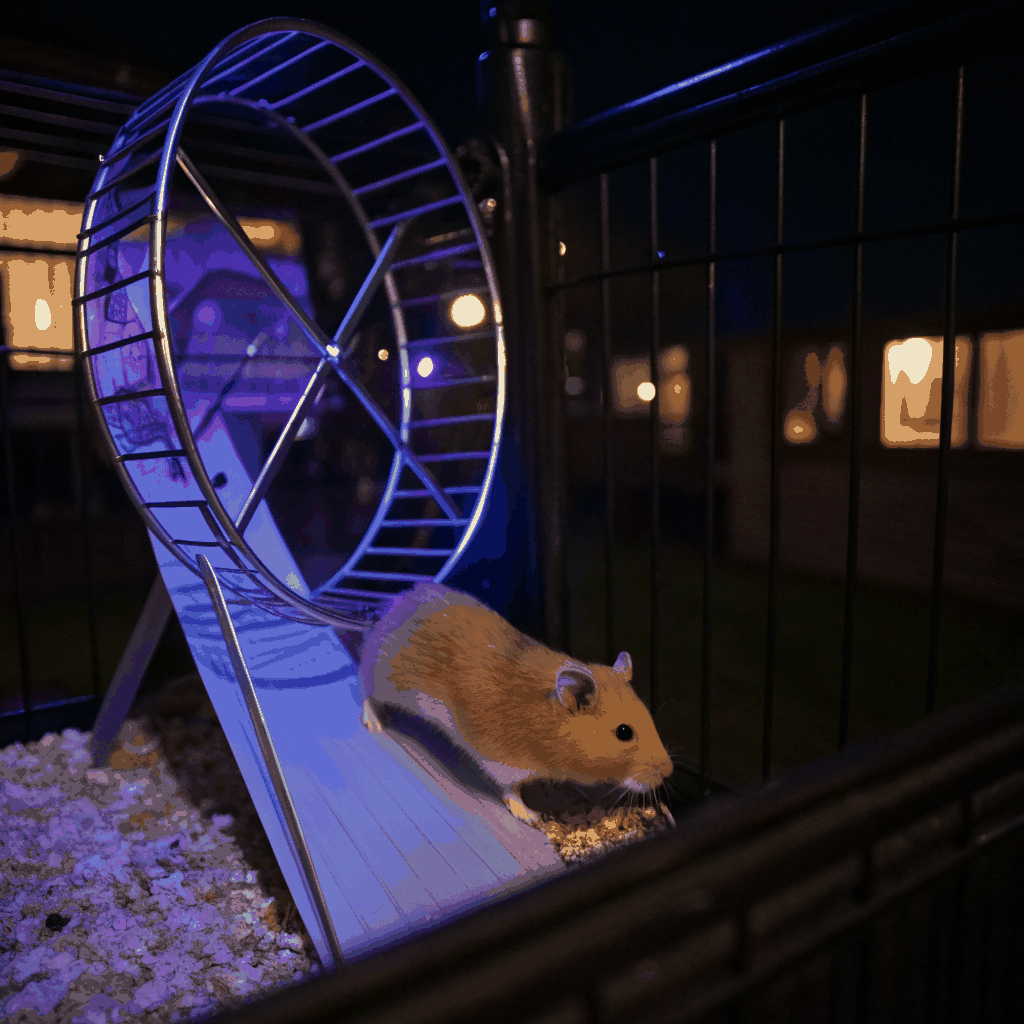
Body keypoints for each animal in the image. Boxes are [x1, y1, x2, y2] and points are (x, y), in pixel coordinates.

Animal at [354, 582, 673, 825]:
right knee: (364, 689)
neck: (545, 724)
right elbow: (510, 791)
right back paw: (375, 725)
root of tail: (384, 611)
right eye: (624, 732)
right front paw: (532, 818)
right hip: (383, 679)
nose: (668, 771)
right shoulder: (502, 762)